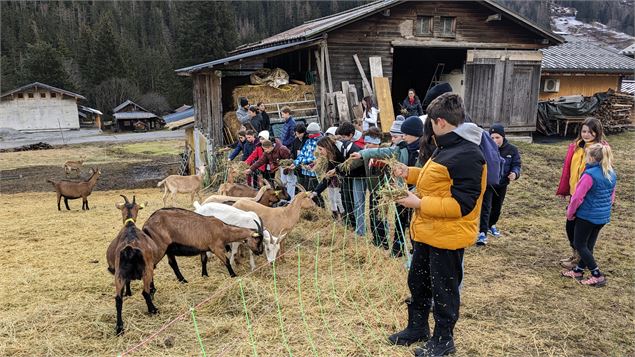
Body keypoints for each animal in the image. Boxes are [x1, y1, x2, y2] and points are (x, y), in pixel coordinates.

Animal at [104, 196, 159, 336]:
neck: (129, 225)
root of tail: (129, 248)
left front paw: (128, 292)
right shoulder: (151, 266)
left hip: (119, 274)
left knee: (118, 299)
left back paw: (119, 328)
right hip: (146, 270)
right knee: (145, 292)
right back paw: (153, 310)